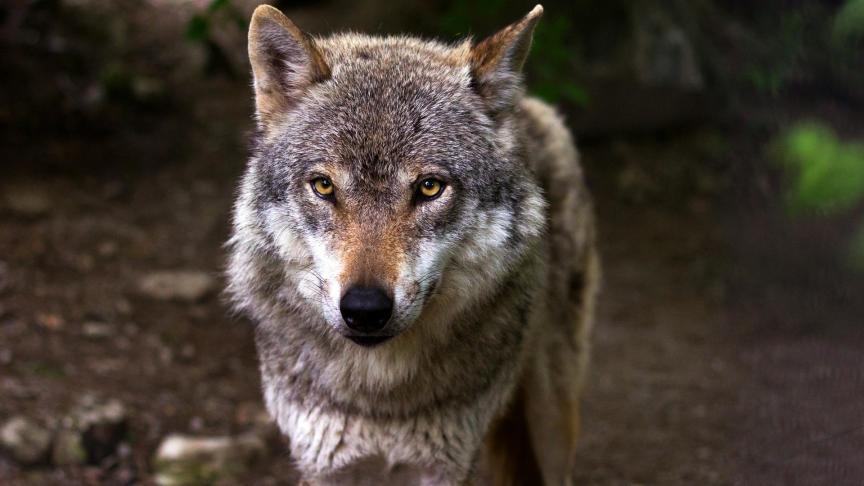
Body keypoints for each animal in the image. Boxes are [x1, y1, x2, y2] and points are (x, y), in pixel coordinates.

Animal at [226, 4, 596, 486]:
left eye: (429, 187)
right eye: (324, 186)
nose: (365, 308)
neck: (382, 398)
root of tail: (528, 106)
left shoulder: (447, 466)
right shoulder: (324, 464)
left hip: (552, 419)